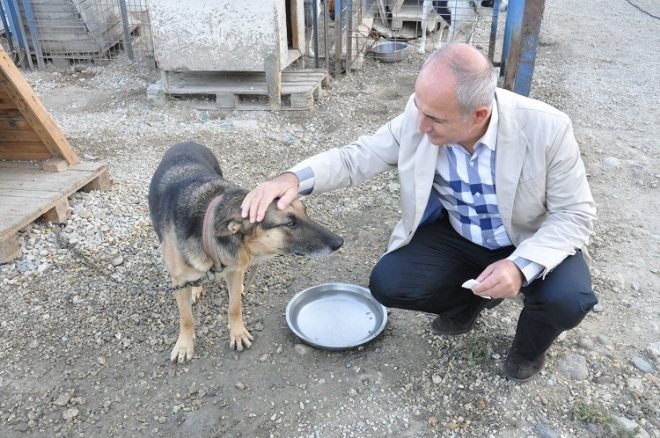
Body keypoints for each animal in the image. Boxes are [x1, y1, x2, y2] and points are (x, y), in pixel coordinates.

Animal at [148, 142, 342, 362]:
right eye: (291, 223)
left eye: (305, 211)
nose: (339, 242)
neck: (206, 229)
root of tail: (186, 142)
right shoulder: (179, 283)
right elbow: (187, 319)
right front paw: (184, 345)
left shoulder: (234, 269)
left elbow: (234, 307)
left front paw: (238, 333)